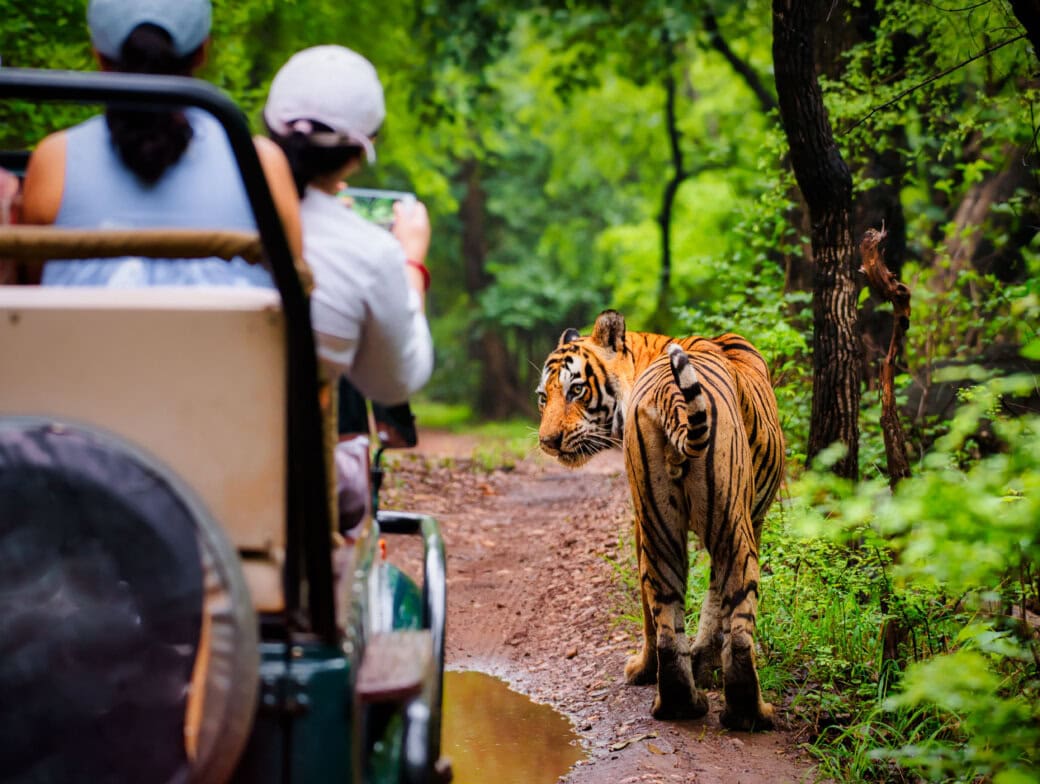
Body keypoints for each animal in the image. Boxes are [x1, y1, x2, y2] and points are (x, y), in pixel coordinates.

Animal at [536, 309, 784, 731]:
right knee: (737, 623)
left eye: (576, 390)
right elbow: (716, 601)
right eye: (543, 397)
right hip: (732, 529)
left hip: (660, 525)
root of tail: (671, 391)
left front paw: (681, 666)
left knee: (665, 614)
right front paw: (706, 664)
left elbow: (679, 602)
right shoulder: (754, 516)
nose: (547, 442)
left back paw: (678, 702)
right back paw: (748, 713)